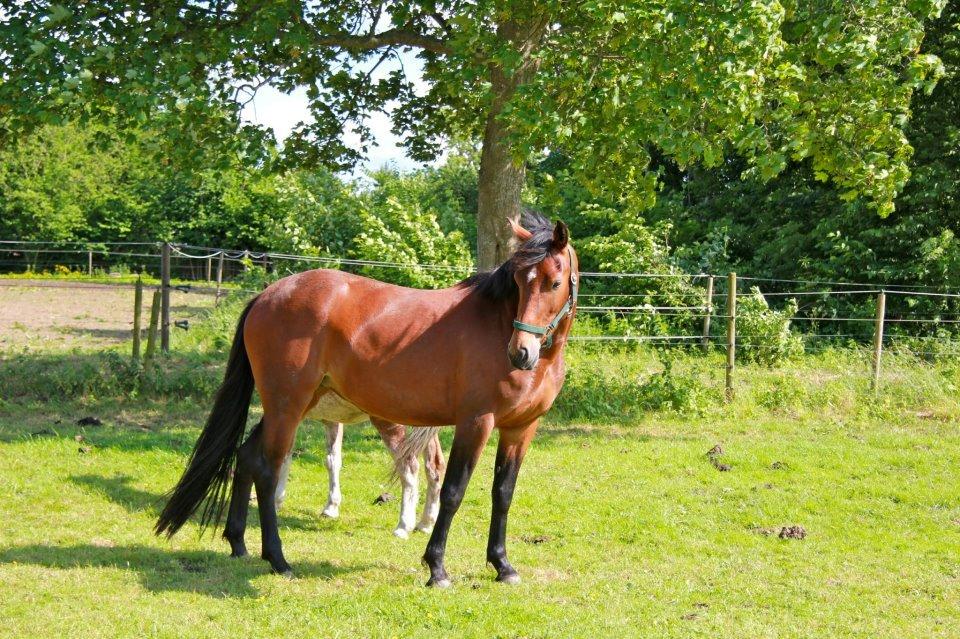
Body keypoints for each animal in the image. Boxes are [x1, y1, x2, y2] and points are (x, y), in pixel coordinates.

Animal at [274, 419, 445, 538]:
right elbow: (333, 460)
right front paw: (331, 507)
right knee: (435, 466)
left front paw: (276, 501)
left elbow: (283, 457)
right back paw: (425, 523)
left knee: (408, 467)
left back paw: (403, 527)